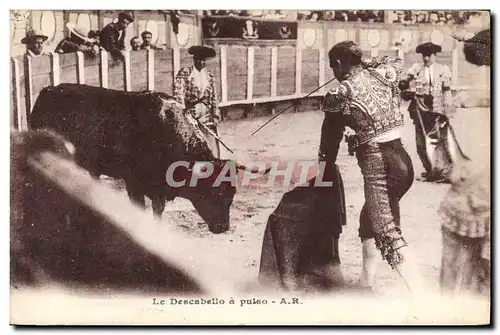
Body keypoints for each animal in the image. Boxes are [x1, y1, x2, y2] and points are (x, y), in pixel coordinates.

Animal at [30, 84, 256, 235]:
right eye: (213, 190)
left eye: (232, 193)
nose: (223, 227)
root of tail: (47, 91)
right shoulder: (134, 183)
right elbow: (140, 207)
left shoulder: (157, 189)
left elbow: (158, 210)